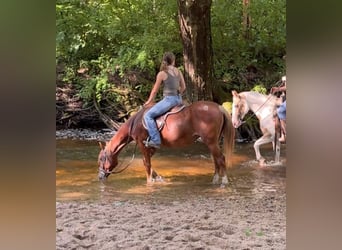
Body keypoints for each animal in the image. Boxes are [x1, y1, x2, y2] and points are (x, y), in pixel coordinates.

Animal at [97, 101, 234, 186]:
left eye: (101, 159)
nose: (100, 177)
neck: (136, 122)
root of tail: (219, 108)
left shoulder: (142, 144)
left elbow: (146, 164)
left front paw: (150, 182)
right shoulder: (152, 147)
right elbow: (148, 163)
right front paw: (158, 178)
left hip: (211, 142)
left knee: (220, 158)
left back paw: (224, 181)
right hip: (212, 142)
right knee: (216, 160)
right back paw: (215, 180)